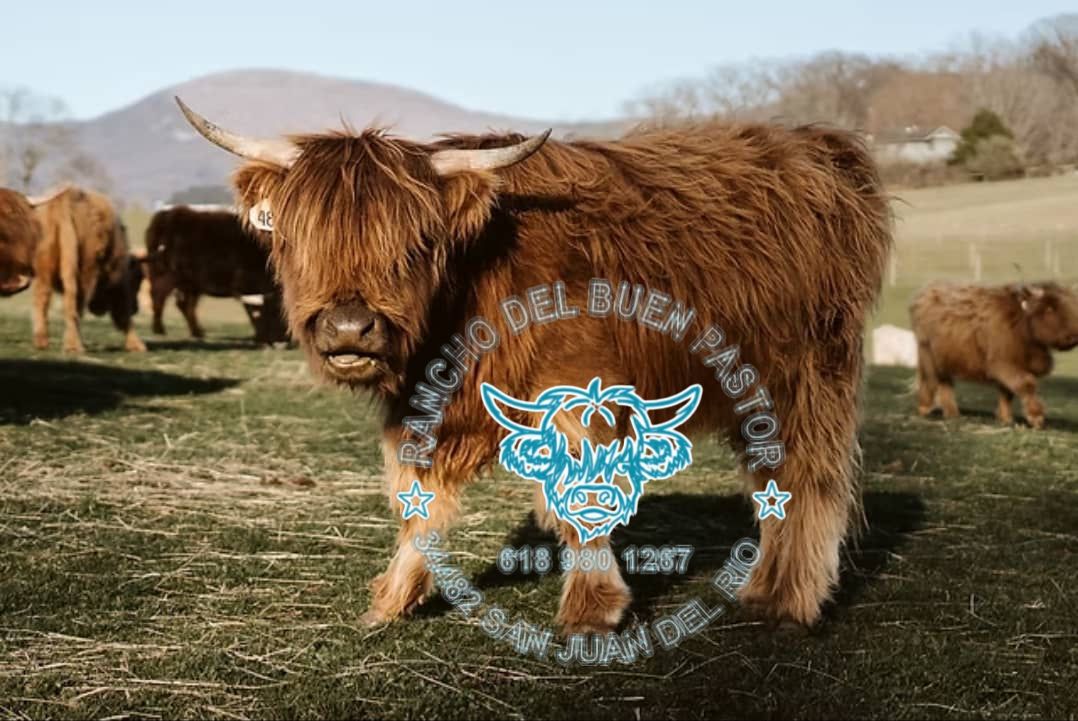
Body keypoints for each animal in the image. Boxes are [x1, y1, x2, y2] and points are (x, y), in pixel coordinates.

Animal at [31, 186, 145, 353]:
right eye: (137, 281)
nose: (136, 308)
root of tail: (65, 199)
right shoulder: (120, 284)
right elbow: (123, 313)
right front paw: (137, 345)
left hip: (43, 271)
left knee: (42, 299)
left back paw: (42, 341)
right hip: (83, 273)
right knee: (74, 304)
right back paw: (74, 346)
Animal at [143, 205, 289, 345]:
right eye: (273, 313)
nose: (281, 341)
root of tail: (164, 216)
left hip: (190, 284)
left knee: (185, 305)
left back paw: (198, 332)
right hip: (165, 276)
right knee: (159, 297)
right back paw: (159, 329)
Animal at [179, 98, 893, 633]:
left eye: (416, 243)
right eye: (299, 239)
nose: (350, 327)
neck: (472, 288)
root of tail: (820, 145)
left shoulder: (579, 394)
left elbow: (580, 504)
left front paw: (591, 611)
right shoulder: (428, 407)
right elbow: (419, 503)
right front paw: (392, 599)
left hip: (807, 372)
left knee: (810, 477)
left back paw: (789, 599)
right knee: (773, 481)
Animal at [910, 281, 1078, 428]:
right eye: (1050, 308)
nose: (1073, 337)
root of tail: (927, 293)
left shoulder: (1014, 364)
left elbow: (1007, 392)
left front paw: (1005, 418)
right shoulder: (1003, 362)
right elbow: (1026, 384)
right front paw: (1036, 418)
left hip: (945, 357)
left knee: (945, 382)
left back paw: (952, 413)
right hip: (928, 354)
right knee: (930, 379)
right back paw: (924, 408)